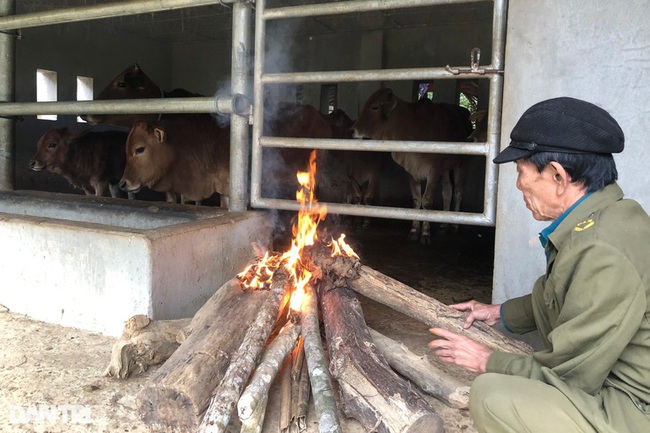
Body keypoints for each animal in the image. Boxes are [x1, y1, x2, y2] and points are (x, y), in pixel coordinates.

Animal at [352, 88, 468, 243]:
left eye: (375, 107)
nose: (352, 130)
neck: (413, 126)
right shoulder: (412, 172)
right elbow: (416, 201)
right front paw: (414, 231)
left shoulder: (434, 171)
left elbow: (427, 201)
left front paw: (425, 233)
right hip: (445, 170)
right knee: (447, 190)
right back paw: (443, 225)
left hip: (461, 165)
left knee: (458, 191)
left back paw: (454, 226)